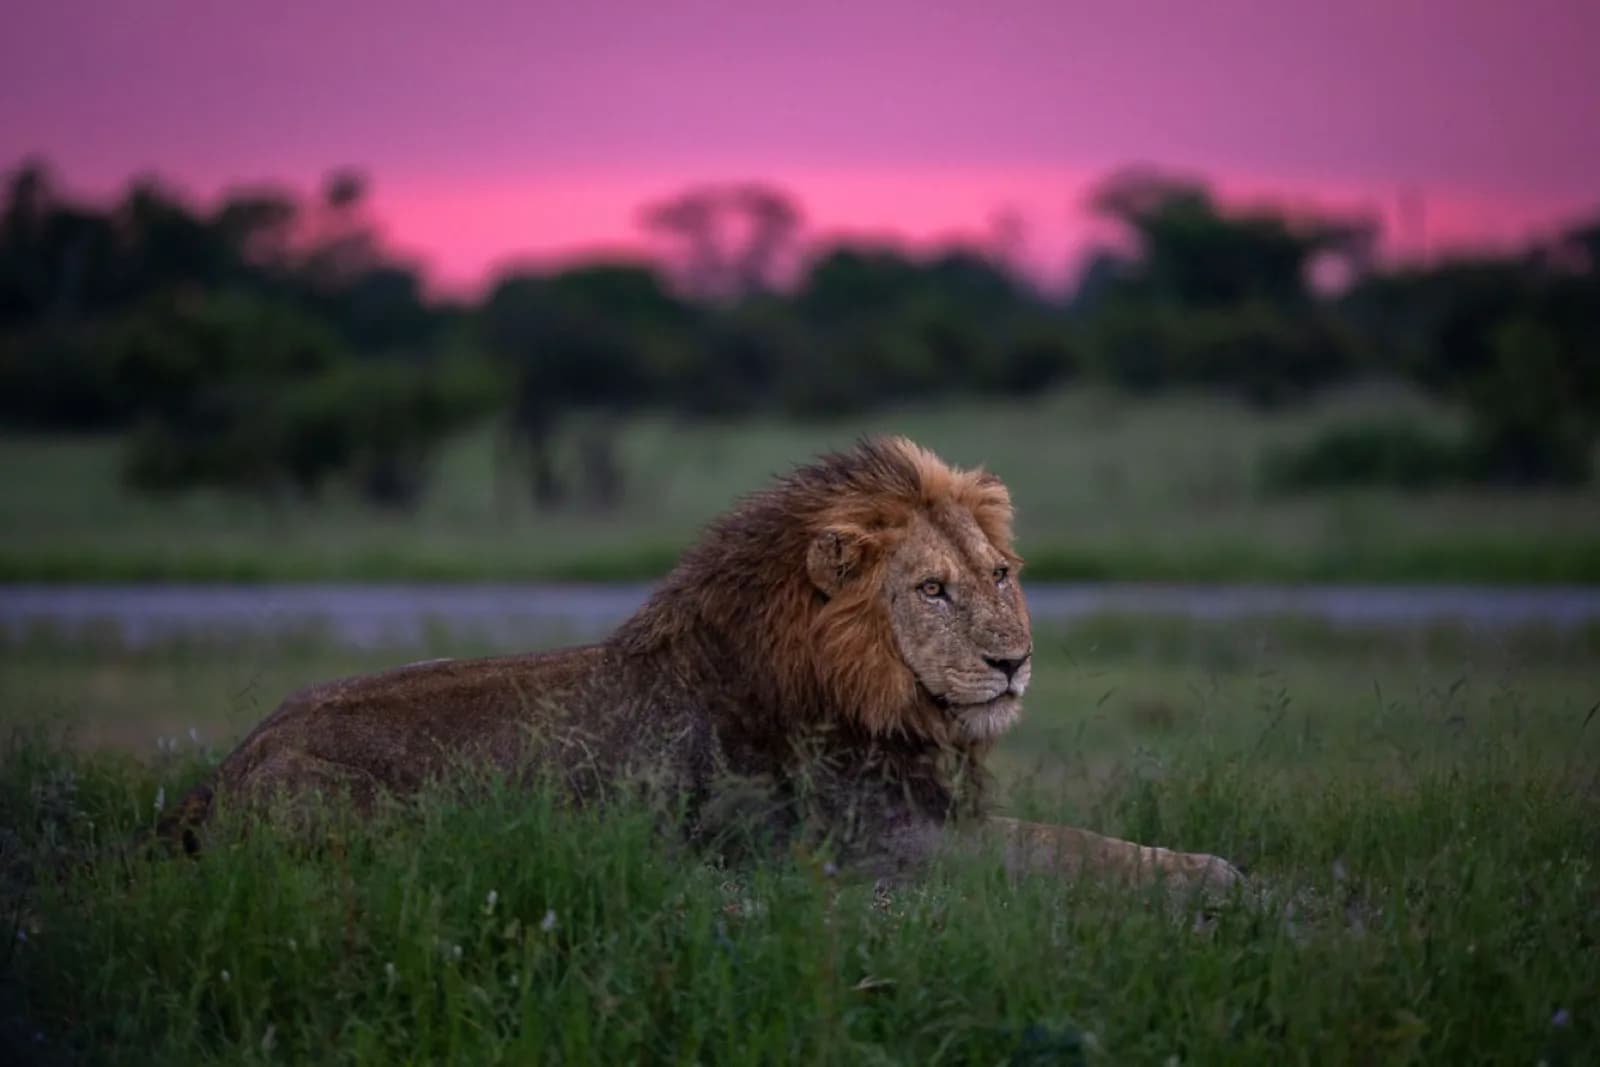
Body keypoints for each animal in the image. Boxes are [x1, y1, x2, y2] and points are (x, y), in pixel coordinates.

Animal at [163, 436, 1242, 895]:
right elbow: (1069, 847)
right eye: (931, 589)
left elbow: (1083, 837)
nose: (1012, 661)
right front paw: (1217, 873)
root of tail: (226, 768)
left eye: (1000, 573)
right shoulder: (882, 841)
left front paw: (1206, 862)